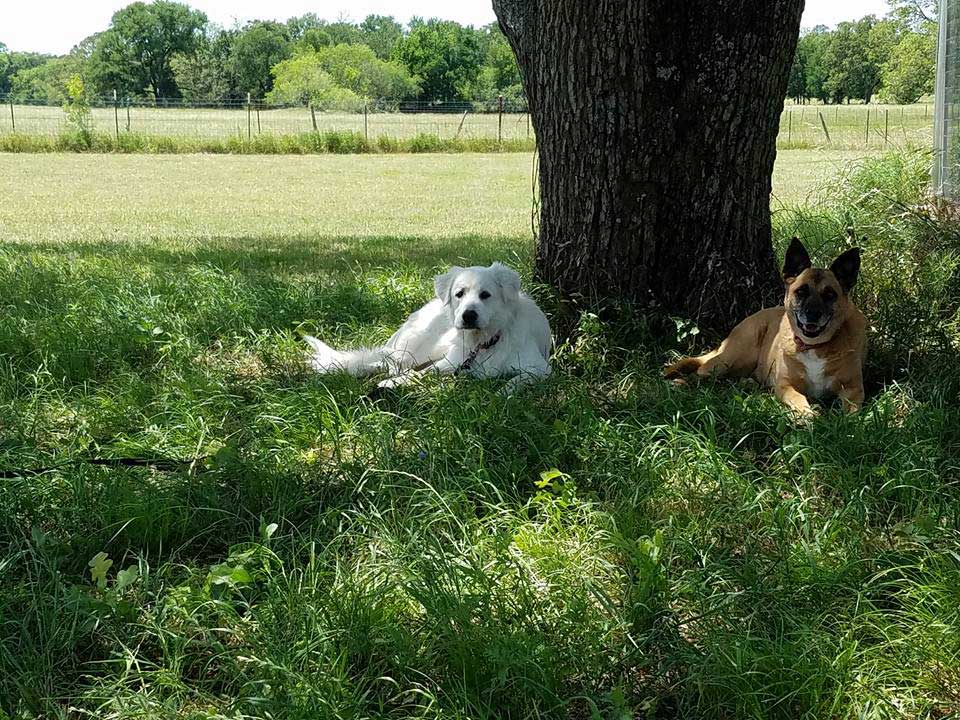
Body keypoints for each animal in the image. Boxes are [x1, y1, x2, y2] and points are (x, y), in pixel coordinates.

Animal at [304, 262, 552, 390]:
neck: (484, 342)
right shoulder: (451, 361)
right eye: (459, 294)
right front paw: (394, 383)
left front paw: (502, 394)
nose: (468, 316)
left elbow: (514, 382)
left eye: (485, 295)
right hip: (421, 346)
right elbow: (424, 373)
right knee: (391, 363)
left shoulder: (541, 369)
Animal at [664, 238, 868, 416]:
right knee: (702, 373)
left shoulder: (853, 389)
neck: (814, 346)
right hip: (731, 358)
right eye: (801, 291)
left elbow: (852, 412)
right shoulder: (785, 386)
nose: (813, 314)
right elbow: (800, 399)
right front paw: (807, 416)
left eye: (830, 294)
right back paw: (681, 382)